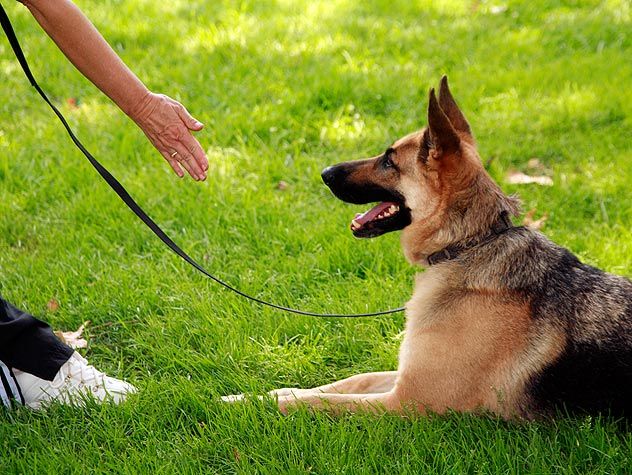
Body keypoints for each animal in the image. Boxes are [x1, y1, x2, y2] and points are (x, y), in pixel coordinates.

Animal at [223, 78, 632, 420]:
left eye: (389, 161)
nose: (324, 173)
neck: (468, 244)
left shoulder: (407, 402)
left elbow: (320, 402)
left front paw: (252, 404)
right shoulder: (404, 376)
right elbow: (348, 381)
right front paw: (261, 393)